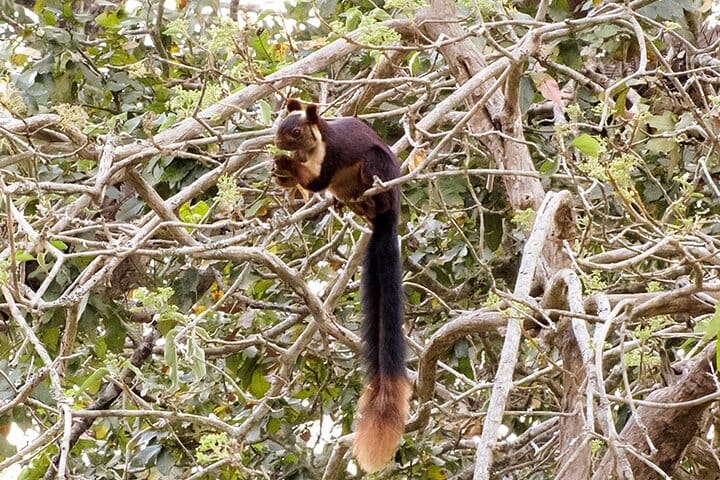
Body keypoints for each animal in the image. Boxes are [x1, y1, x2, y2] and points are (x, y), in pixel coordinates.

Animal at [272, 99, 411, 473]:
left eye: (296, 131)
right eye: (279, 125)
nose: (277, 144)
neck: (313, 146)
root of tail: (388, 218)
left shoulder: (332, 156)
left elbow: (316, 181)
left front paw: (287, 168)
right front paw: (282, 176)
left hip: (376, 169)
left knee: (372, 185)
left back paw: (372, 200)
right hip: (347, 189)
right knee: (343, 196)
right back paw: (348, 204)